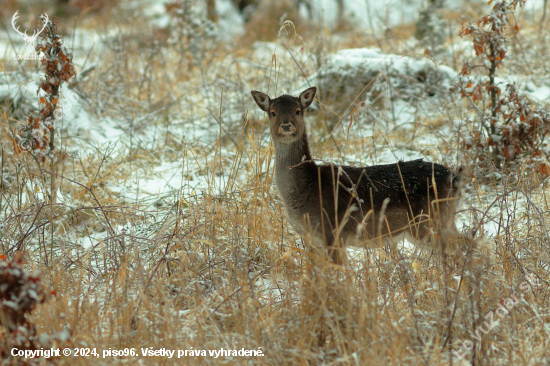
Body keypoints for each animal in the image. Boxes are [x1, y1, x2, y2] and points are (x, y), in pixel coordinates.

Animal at [252, 86, 468, 264]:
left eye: (298, 110)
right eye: (272, 112)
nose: (286, 125)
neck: (306, 191)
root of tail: (455, 178)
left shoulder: (332, 232)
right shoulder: (309, 237)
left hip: (429, 222)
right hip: (443, 220)